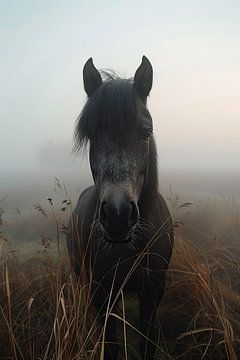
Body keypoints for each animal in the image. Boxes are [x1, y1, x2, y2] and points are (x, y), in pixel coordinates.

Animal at [66, 56, 173, 360]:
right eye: (91, 135)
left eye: (146, 132)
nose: (117, 216)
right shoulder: (103, 293)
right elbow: (110, 344)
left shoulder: (153, 292)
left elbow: (147, 342)